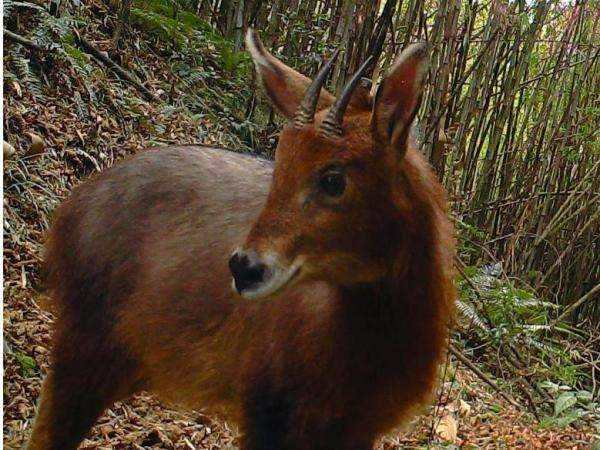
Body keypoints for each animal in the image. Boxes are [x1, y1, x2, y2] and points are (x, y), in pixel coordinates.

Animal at [24, 30, 454, 450]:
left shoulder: (358, 428)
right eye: (279, 165)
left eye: (334, 179)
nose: (244, 268)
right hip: (87, 341)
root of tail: (72, 207)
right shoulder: (266, 407)